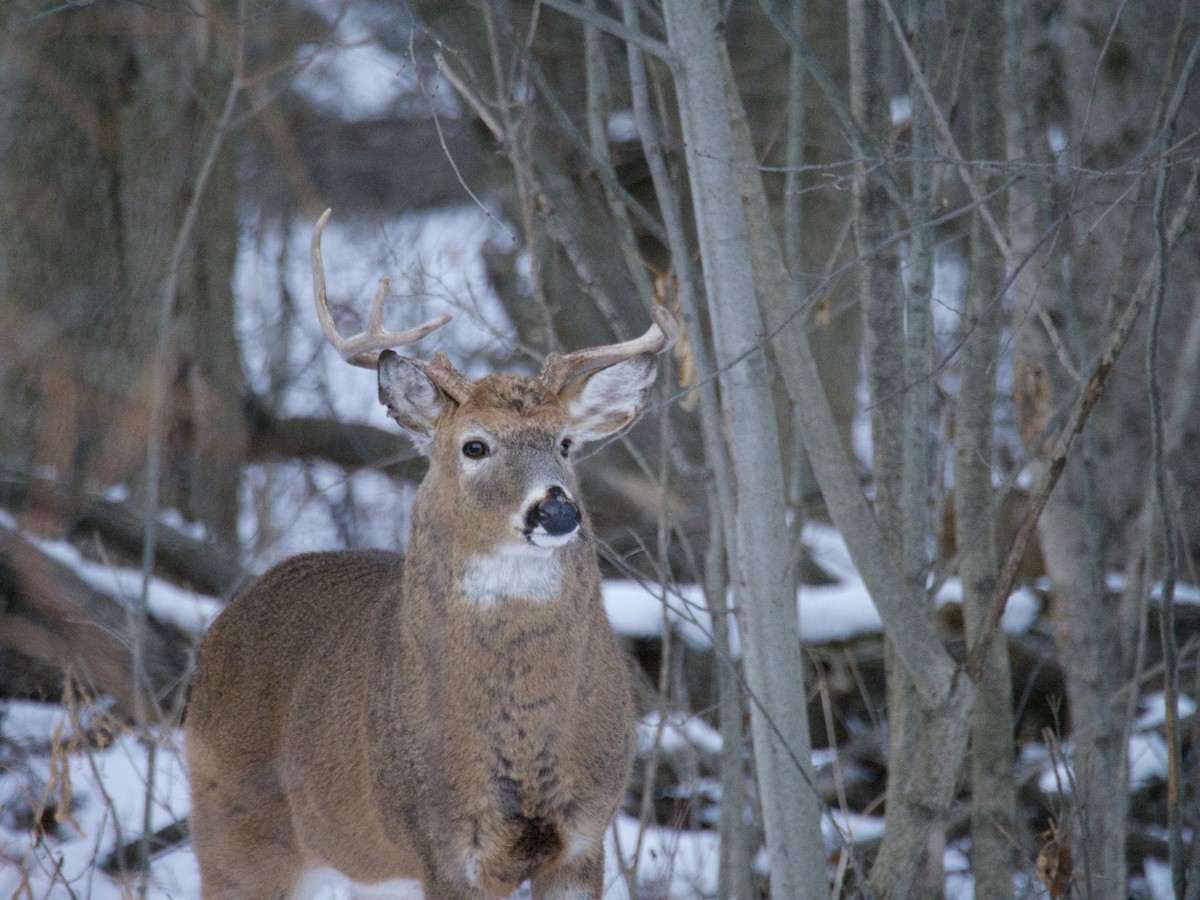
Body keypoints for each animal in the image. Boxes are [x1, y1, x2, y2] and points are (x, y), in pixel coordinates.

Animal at [185, 209, 677, 900]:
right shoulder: (443, 846)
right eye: (474, 445)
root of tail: (224, 620)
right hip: (232, 832)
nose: (556, 510)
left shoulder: (586, 835)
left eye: (566, 443)